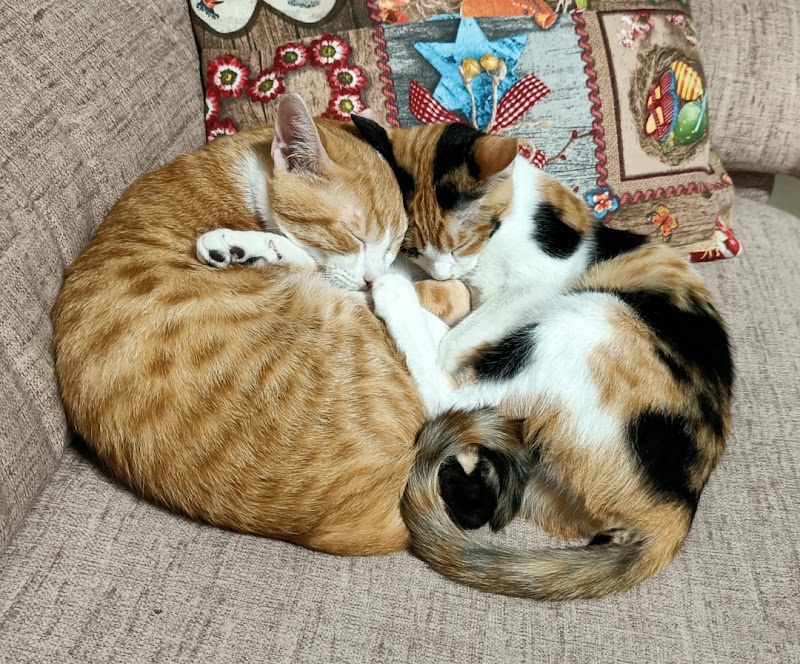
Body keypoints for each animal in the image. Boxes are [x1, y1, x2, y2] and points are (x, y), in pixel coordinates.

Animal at [352, 117, 733, 600]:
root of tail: (677, 510)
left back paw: (395, 295)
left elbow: (458, 341)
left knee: (448, 392)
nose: (442, 271)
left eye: (459, 244)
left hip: (588, 318)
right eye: (414, 248)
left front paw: (427, 309)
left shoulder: (538, 282)